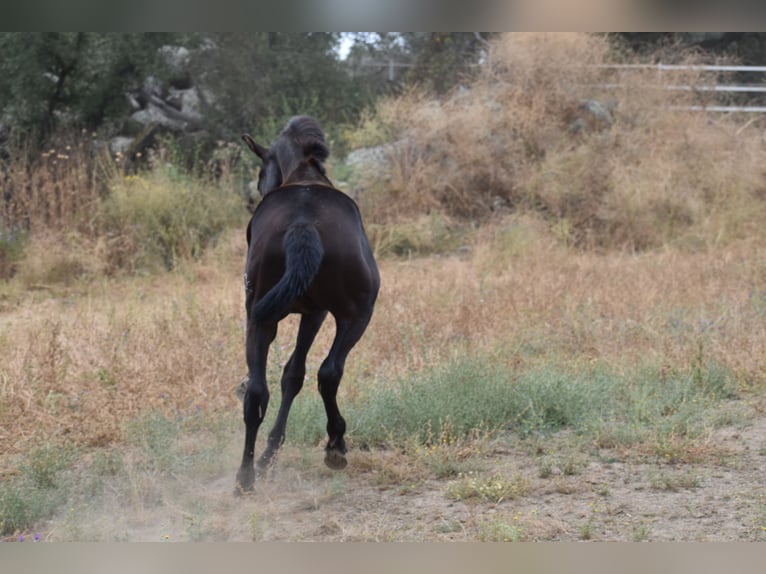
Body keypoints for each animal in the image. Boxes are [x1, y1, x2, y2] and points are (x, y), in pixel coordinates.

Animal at [234, 117, 378, 496]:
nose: (256, 192)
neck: (304, 174)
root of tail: (303, 224)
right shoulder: (315, 313)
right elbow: (295, 375)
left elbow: (288, 376)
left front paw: (267, 458)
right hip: (356, 315)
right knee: (328, 372)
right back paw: (335, 446)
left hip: (259, 320)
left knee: (257, 392)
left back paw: (245, 477)